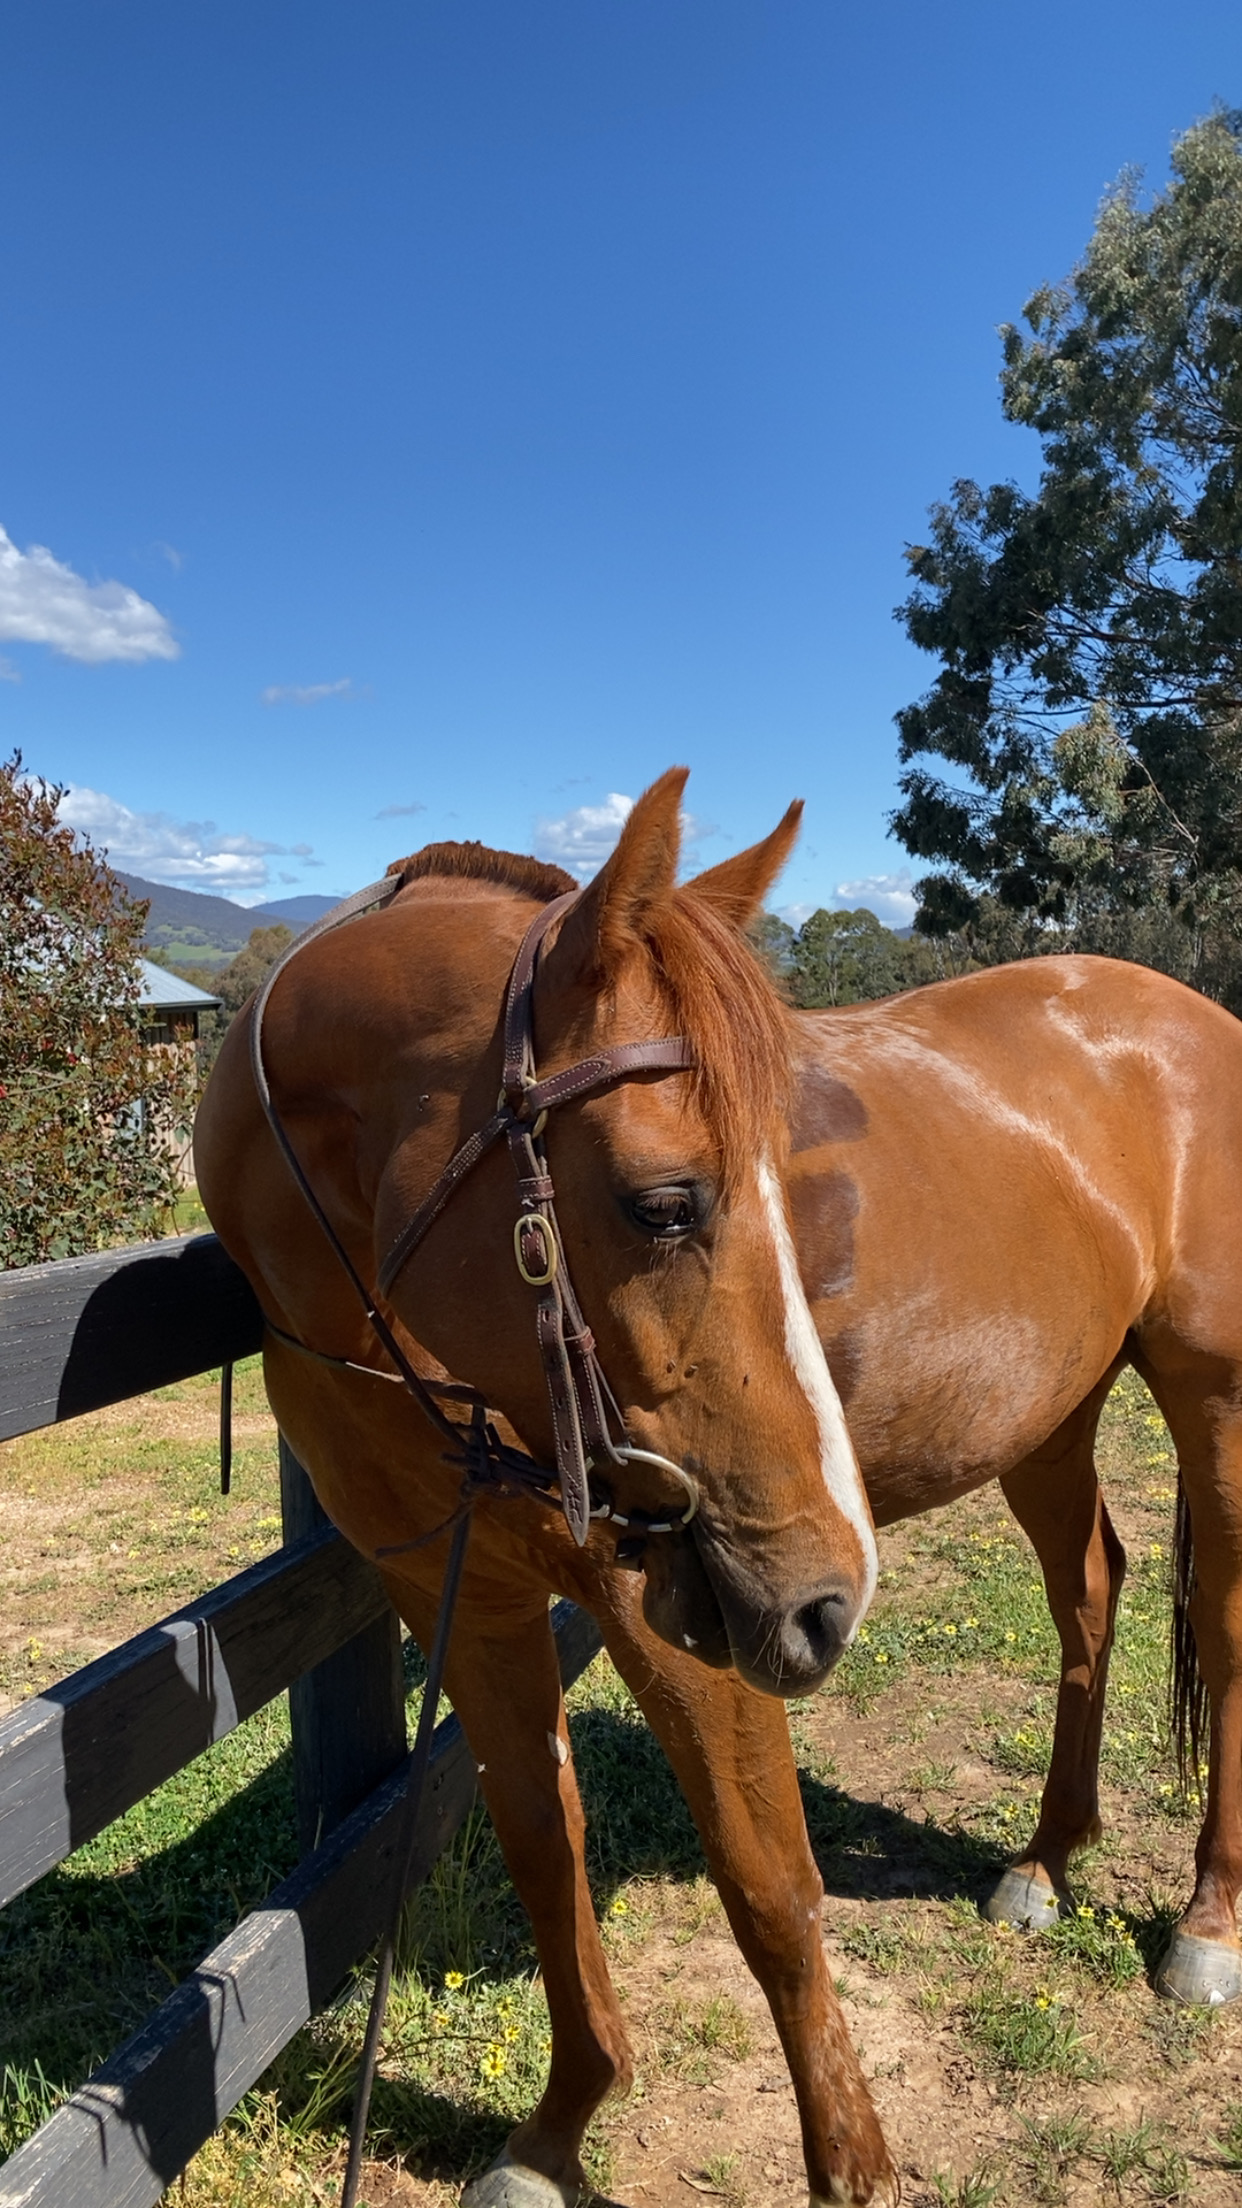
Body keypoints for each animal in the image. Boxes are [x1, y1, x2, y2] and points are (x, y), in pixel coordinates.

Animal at [195, 769, 896, 2208]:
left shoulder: (660, 1592)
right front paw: (558, 2124)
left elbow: (769, 1886)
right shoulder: (467, 1592)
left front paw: (852, 2168)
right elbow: (537, 1830)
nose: (830, 1594)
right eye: (665, 1201)